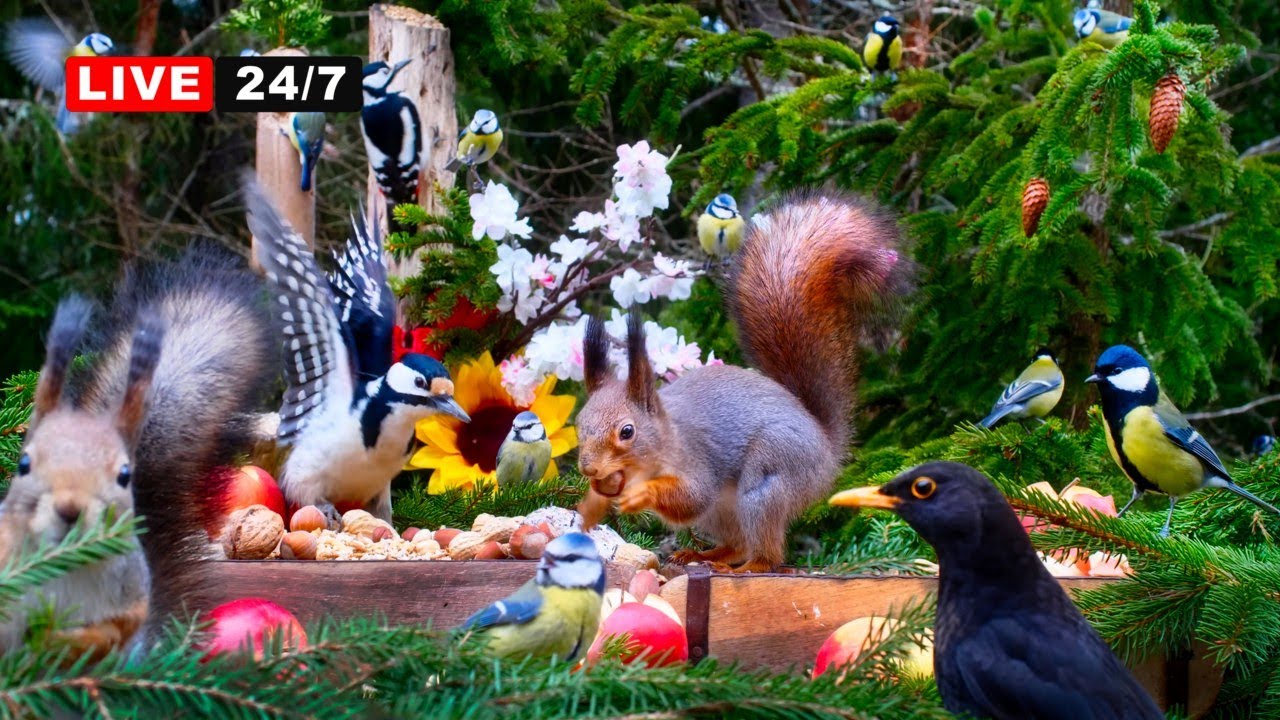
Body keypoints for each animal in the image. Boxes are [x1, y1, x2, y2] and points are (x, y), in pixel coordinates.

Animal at [0, 243, 276, 656]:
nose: (70, 509)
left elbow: (119, 625)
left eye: (124, 475)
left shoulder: (130, 591)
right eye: (24, 463)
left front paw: (72, 637)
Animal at [576, 192, 906, 573]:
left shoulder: (696, 460)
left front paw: (643, 494)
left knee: (766, 551)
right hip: (723, 512)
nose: (588, 468)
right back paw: (703, 556)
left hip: (768, 478)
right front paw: (590, 508)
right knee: (735, 543)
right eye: (579, 426)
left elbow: (692, 498)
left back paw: (750, 566)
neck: (663, 439)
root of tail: (827, 448)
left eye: (627, 431)